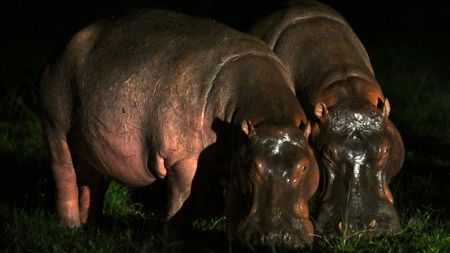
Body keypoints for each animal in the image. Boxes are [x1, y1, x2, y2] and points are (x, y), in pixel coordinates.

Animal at [39, 9, 320, 249]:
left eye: (305, 166)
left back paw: (92, 226)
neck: (270, 118)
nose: (276, 238)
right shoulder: (183, 159)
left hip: (94, 142)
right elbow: (182, 201)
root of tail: (68, 43)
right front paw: (176, 243)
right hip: (54, 124)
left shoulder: (235, 157)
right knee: (63, 172)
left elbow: (232, 205)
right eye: (252, 166)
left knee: (92, 179)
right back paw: (70, 227)